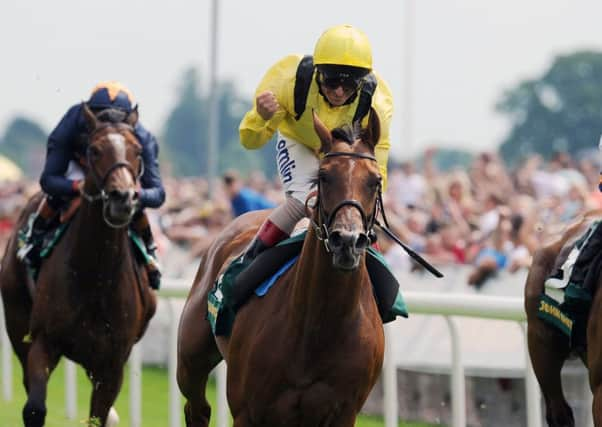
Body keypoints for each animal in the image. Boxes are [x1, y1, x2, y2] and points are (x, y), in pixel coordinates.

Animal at [0, 104, 157, 427]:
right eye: (94, 150)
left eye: (137, 151)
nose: (123, 198)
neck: (95, 277)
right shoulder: (44, 342)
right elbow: (34, 408)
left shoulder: (112, 365)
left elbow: (98, 417)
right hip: (16, 319)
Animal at [177, 111, 384, 427]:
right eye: (324, 176)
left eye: (375, 180)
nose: (347, 241)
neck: (320, 328)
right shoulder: (247, 411)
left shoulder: (342, 412)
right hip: (190, 361)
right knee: (197, 408)